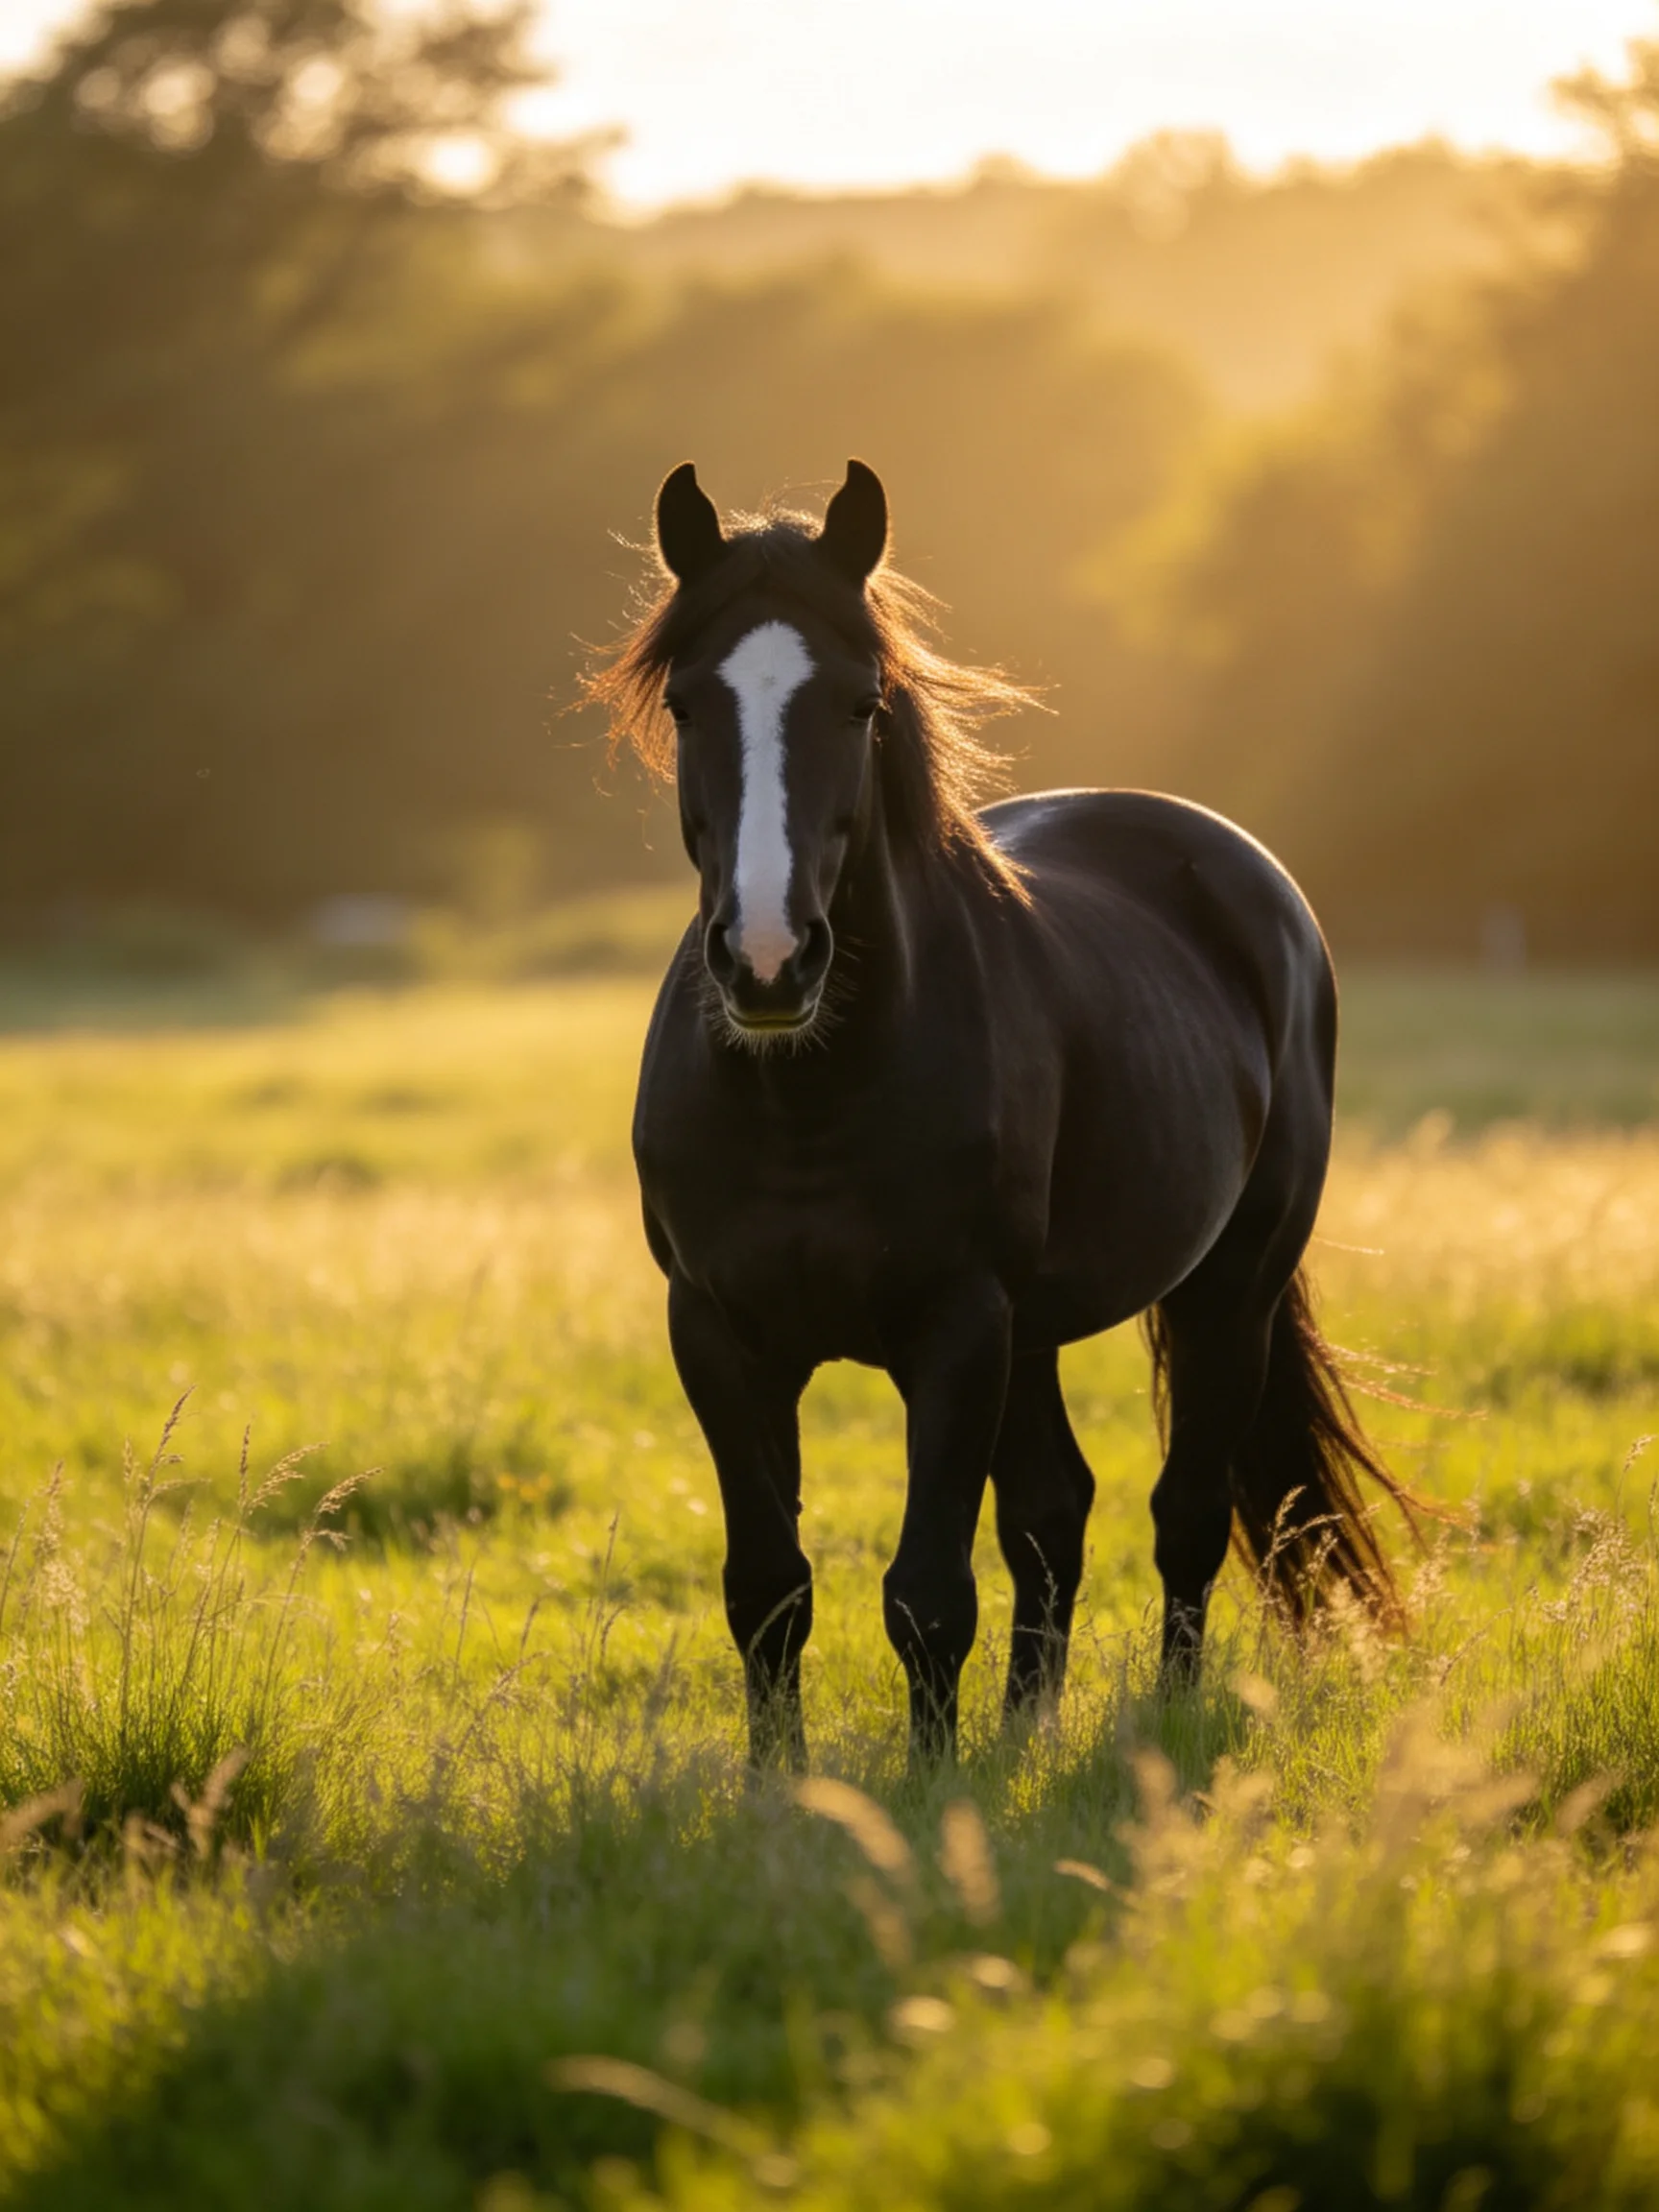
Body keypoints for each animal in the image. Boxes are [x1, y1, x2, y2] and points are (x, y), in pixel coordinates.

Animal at [590, 458, 1418, 1767]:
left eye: (863, 703)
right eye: (683, 704)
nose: (769, 962)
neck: (807, 1096)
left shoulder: (958, 1324)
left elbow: (928, 1595)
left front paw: (932, 1789)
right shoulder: (718, 1330)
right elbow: (769, 1585)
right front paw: (781, 1786)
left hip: (1226, 1287)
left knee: (1184, 1513)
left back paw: (1162, 1721)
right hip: (1037, 1332)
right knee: (1053, 1511)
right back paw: (1029, 1729)